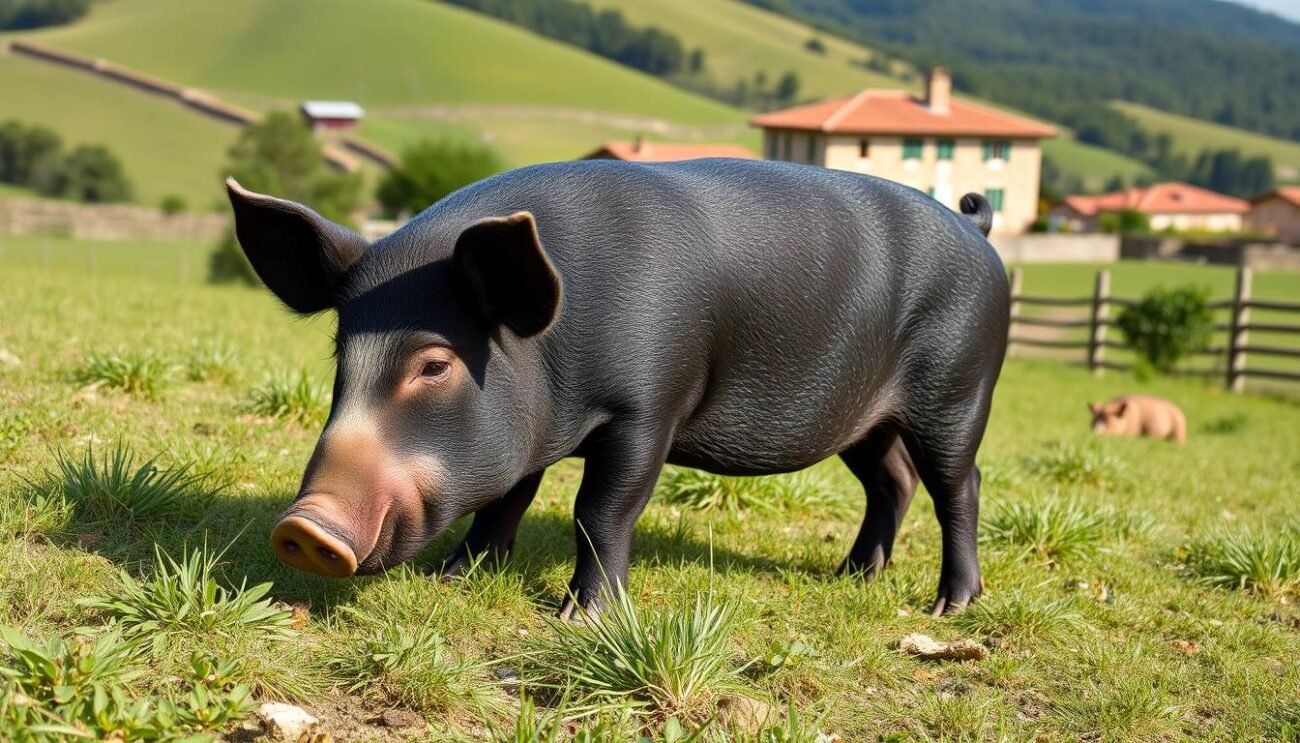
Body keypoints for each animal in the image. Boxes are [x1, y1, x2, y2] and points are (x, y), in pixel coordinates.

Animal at [228, 159, 1008, 618]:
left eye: (435, 365)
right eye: (342, 354)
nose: (303, 528)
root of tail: (977, 227)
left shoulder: (648, 409)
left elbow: (598, 510)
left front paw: (580, 617)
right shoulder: (535, 428)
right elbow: (509, 497)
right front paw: (457, 576)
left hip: (958, 388)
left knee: (958, 486)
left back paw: (949, 607)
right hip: (866, 418)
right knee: (893, 480)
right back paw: (852, 576)